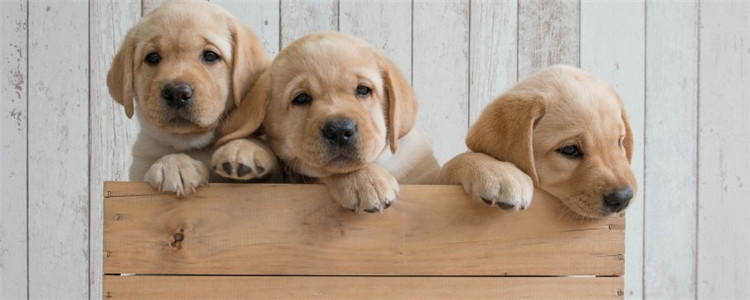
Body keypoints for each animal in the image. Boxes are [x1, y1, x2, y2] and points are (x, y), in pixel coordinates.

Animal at [108, 1, 276, 197]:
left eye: (210, 55)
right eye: (152, 57)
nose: (176, 93)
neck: (192, 144)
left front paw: (243, 148)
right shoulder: (137, 171)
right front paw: (173, 165)